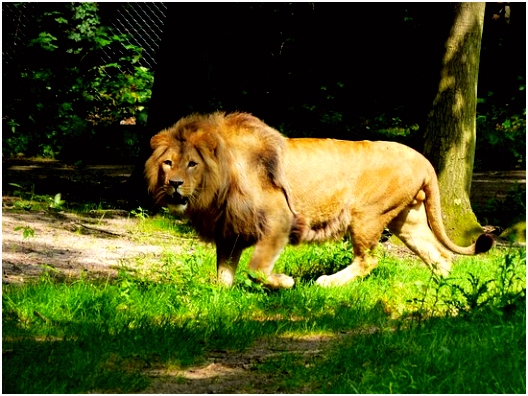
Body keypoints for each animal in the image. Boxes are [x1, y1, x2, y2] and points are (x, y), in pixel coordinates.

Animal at [144, 110, 496, 288]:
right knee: (440, 256)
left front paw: (284, 282)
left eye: (192, 163)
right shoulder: (230, 230)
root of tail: (423, 160)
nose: (174, 184)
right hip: (406, 219)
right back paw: (437, 290)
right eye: (168, 163)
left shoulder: (279, 219)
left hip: (366, 216)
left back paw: (327, 282)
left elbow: (256, 268)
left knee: (369, 260)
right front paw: (223, 297)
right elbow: (223, 273)